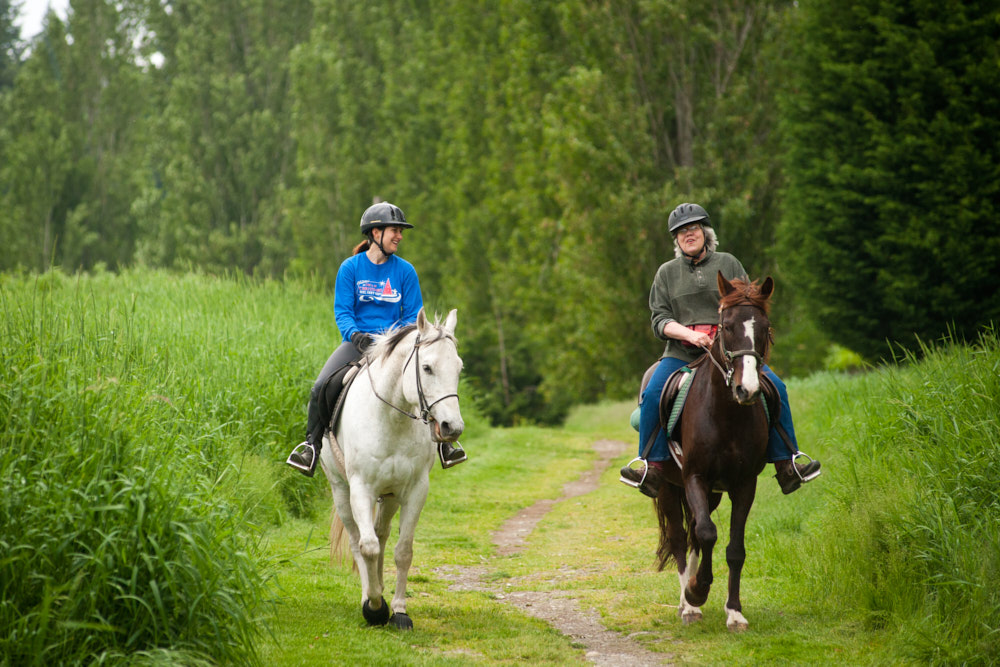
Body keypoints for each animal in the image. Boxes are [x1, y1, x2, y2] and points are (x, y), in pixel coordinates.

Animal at [316, 308, 464, 632]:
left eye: (459, 368)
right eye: (427, 367)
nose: (452, 428)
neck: (392, 418)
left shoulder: (415, 490)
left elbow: (402, 551)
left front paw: (397, 610)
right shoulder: (361, 489)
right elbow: (367, 546)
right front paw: (374, 608)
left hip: (391, 496)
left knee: (382, 535)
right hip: (341, 491)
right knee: (359, 542)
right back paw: (370, 594)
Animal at [656, 272, 780, 632]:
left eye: (764, 327)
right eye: (726, 326)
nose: (746, 389)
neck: (726, 415)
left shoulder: (744, 485)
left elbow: (734, 547)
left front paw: (734, 611)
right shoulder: (694, 477)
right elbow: (707, 533)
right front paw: (696, 592)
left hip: (711, 493)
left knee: (694, 536)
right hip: (669, 487)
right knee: (681, 537)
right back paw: (687, 605)